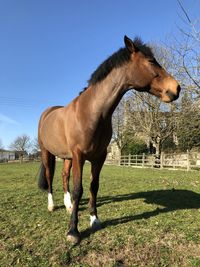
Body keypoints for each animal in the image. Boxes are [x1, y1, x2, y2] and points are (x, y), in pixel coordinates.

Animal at [38, 35, 181, 245]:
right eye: (151, 61)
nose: (176, 88)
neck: (91, 111)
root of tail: (48, 113)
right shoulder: (79, 156)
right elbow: (78, 189)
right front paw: (73, 231)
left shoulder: (99, 157)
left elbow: (93, 187)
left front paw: (94, 220)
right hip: (47, 153)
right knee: (49, 177)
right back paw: (51, 205)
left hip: (66, 157)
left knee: (64, 176)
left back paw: (68, 205)